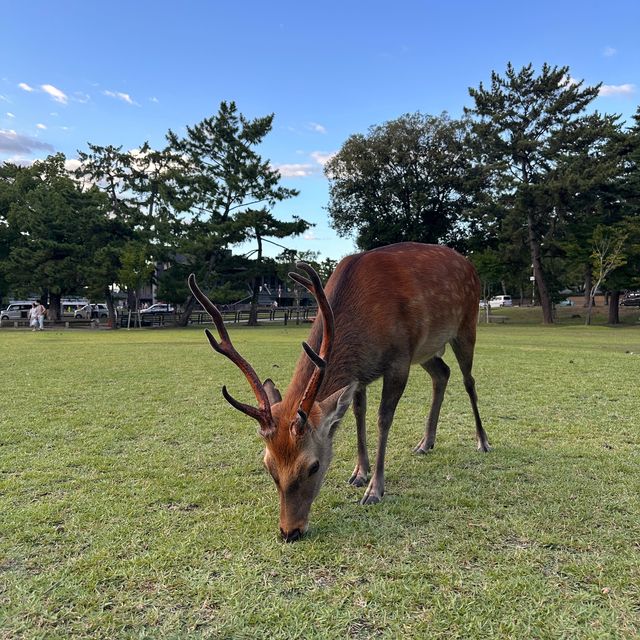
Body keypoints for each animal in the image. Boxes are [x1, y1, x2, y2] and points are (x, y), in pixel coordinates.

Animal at [190, 242, 490, 544]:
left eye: (313, 466)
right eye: (268, 466)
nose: (289, 531)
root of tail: (470, 265)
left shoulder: (399, 360)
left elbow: (383, 419)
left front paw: (374, 490)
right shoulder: (360, 375)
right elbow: (358, 414)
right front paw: (359, 473)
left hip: (466, 325)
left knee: (469, 381)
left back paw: (482, 441)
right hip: (427, 351)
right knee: (442, 373)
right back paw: (426, 443)